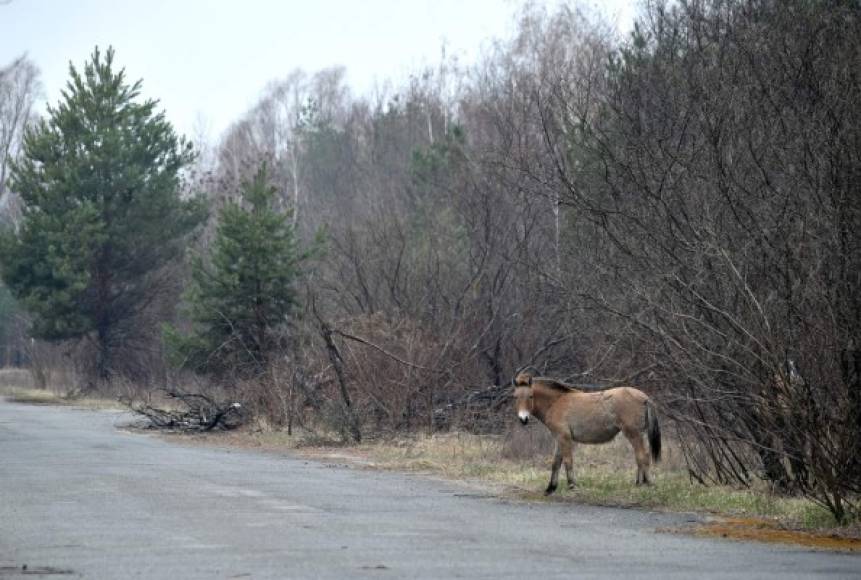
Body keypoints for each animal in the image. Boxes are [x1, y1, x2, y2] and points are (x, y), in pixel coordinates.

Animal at [512, 372, 660, 494]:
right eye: (515, 397)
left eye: (530, 396)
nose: (523, 419)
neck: (556, 402)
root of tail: (644, 397)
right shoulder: (558, 439)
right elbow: (556, 463)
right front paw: (550, 488)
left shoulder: (564, 438)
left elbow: (568, 461)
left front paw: (572, 485)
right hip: (637, 435)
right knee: (641, 457)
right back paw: (639, 483)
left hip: (634, 434)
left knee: (642, 456)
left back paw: (646, 483)